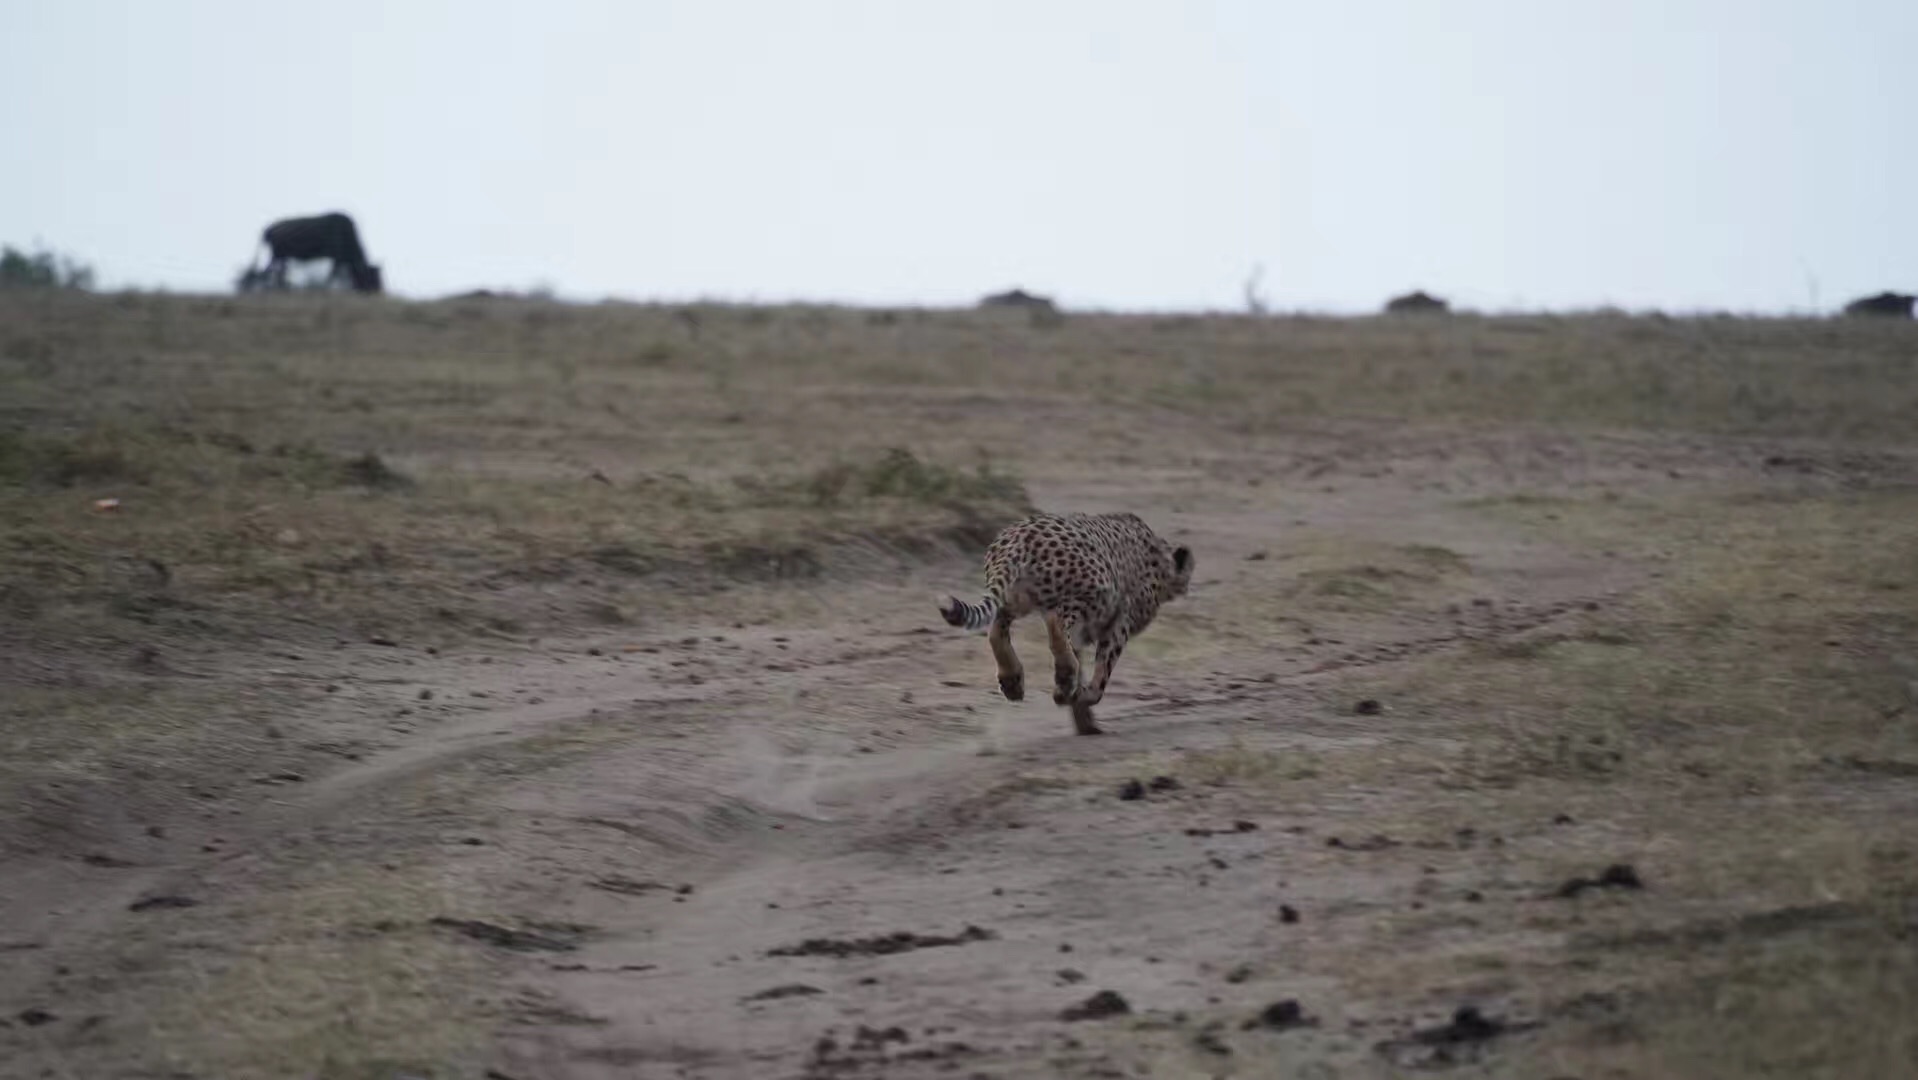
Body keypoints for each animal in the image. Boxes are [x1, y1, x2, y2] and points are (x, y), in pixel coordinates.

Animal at [935, 514, 1189, 736]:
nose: (1186, 588)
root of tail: (1018, 535)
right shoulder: (1119, 621)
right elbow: (1102, 671)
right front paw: (1082, 698)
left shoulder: (1087, 632)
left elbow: (1082, 665)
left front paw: (1082, 716)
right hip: (1096, 590)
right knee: (1055, 625)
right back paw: (1063, 677)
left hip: (1013, 600)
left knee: (997, 630)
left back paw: (1014, 681)